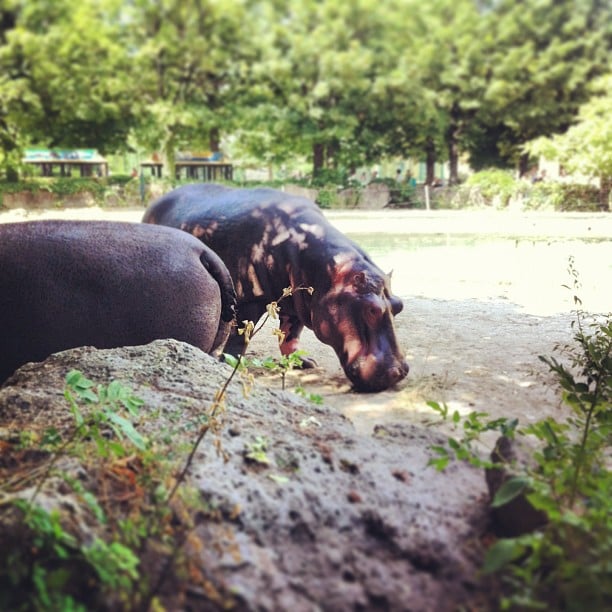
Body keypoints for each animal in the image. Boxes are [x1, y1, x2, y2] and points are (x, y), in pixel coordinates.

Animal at [143, 184, 408, 392]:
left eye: (399, 305)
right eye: (371, 309)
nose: (399, 372)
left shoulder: (300, 303)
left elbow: (290, 337)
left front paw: (305, 363)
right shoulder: (248, 299)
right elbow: (240, 336)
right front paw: (230, 364)